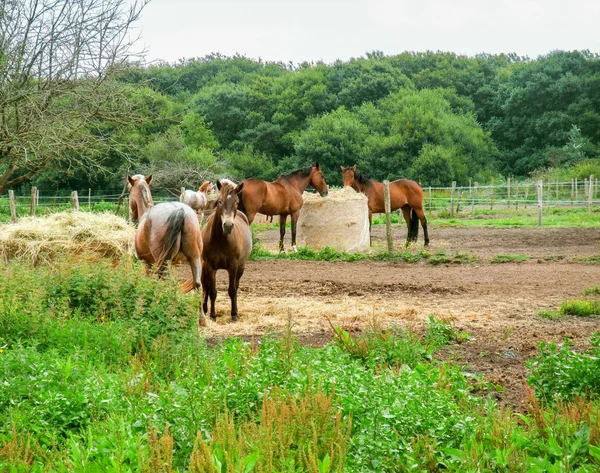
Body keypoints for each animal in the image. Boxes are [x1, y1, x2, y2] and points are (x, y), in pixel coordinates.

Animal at [199, 179, 251, 322]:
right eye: (220, 201)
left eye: (237, 202)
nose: (227, 226)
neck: (220, 239)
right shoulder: (210, 266)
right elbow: (212, 291)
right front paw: (212, 315)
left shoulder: (233, 266)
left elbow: (232, 290)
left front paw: (233, 314)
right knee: (206, 286)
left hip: (241, 267)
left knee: (236, 286)